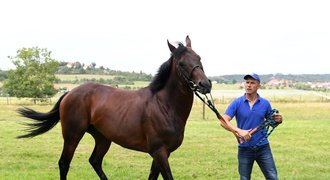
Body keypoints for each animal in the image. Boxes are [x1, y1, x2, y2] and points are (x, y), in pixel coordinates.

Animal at [18, 35, 213, 180]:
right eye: (181, 63)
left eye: (199, 58)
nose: (205, 84)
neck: (163, 105)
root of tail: (70, 92)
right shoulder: (159, 152)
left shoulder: (162, 154)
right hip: (73, 135)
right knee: (64, 163)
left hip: (103, 138)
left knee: (95, 161)